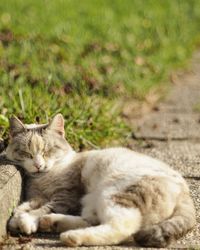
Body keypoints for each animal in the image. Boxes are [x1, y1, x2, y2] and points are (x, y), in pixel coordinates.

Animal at [5, 114, 195, 247]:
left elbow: (41, 209)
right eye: (27, 153)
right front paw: (18, 216)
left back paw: (71, 237)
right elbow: (29, 205)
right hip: (95, 202)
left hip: (115, 195)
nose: (38, 165)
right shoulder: (40, 196)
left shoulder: (66, 197)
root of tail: (185, 192)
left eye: (47, 151)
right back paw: (52, 223)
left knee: (120, 228)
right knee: (93, 221)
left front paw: (26, 221)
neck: (43, 179)